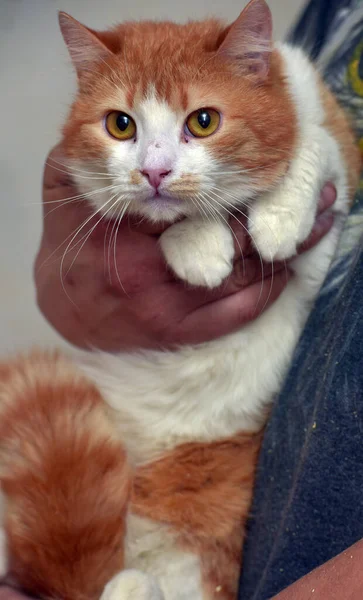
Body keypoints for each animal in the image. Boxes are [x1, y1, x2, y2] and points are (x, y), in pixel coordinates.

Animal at [0, 1, 362, 600]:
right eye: (121, 124)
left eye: (204, 121)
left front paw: (278, 215)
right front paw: (199, 243)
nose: (154, 170)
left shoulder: (317, 255)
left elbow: (316, 146)